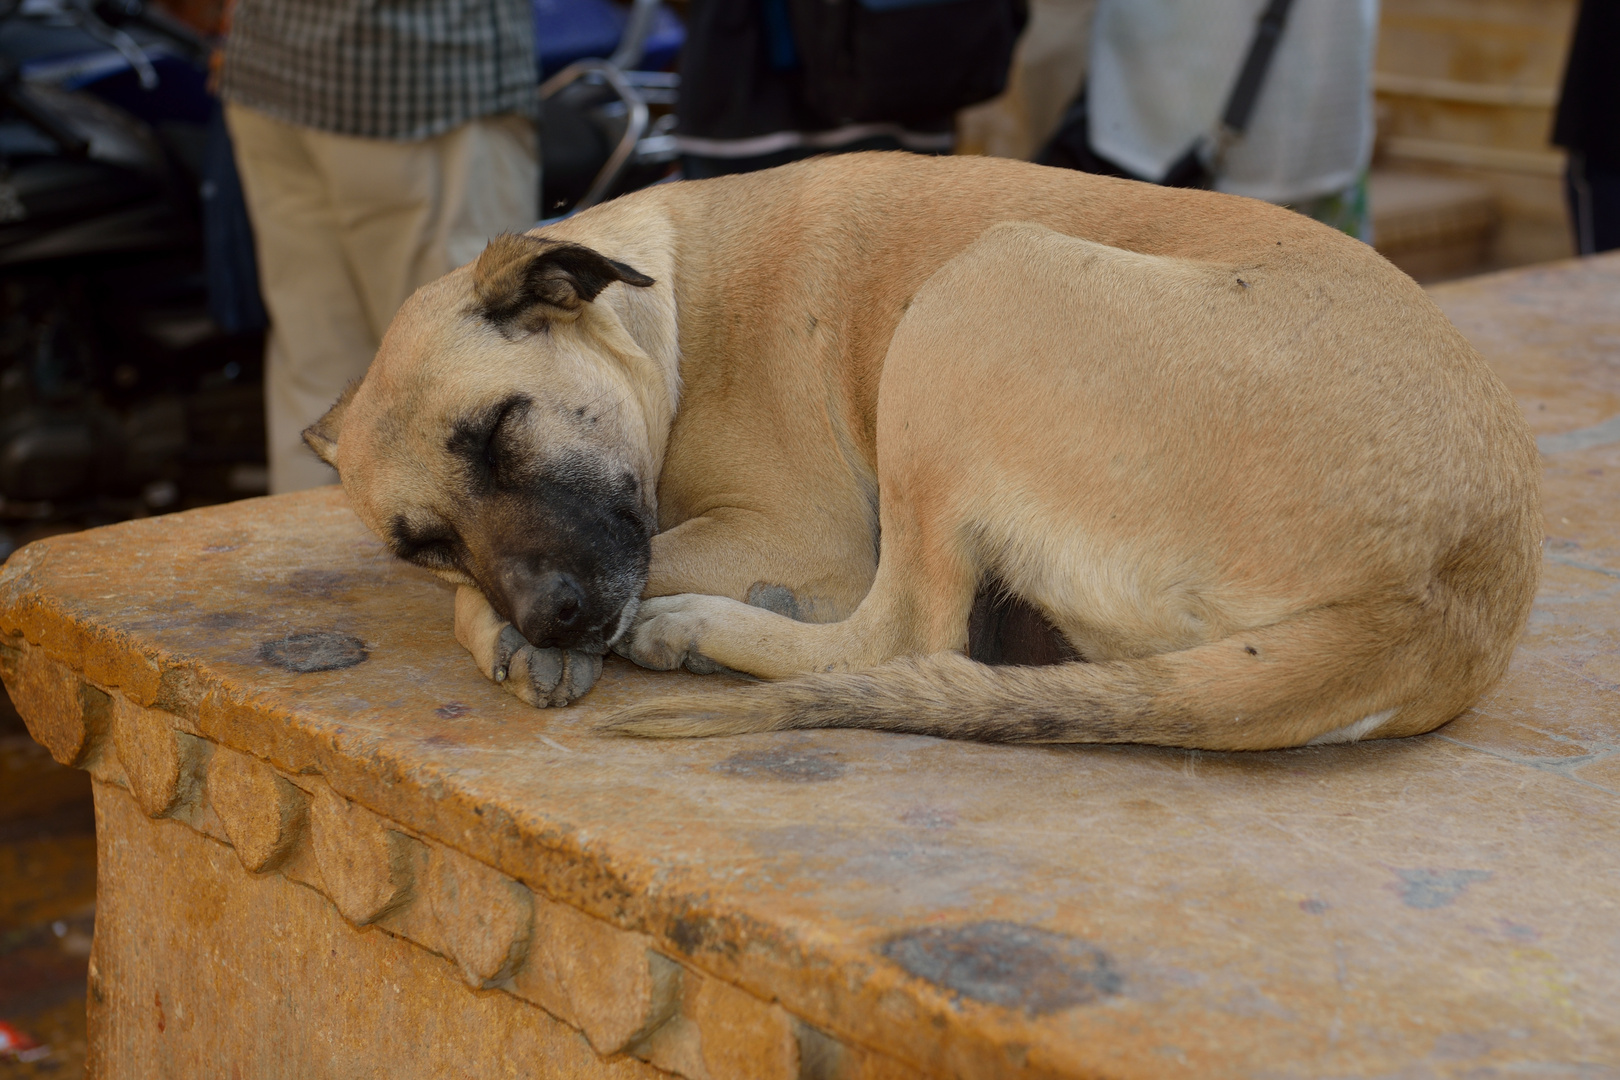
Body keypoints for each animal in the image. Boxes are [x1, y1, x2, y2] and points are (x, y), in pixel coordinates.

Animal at [306, 153, 1542, 751]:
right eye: (421, 542)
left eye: (505, 430)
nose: (554, 616)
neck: (679, 308)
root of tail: (1440, 598)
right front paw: (511, 633)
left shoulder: (796, 535)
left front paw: (520, 637)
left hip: (975, 289)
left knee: (905, 632)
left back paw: (693, 632)